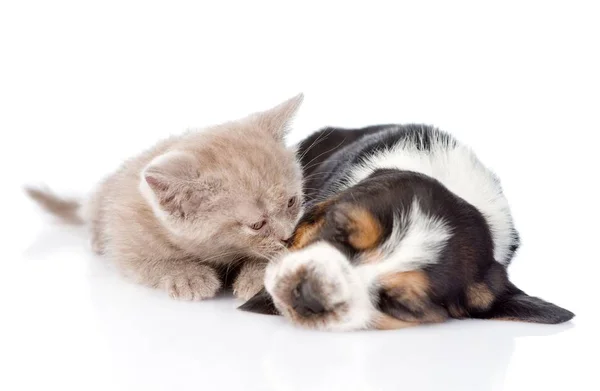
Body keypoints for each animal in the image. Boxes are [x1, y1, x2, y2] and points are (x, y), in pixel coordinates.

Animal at [27, 93, 304, 302]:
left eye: (292, 202)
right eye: (256, 224)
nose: (288, 236)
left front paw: (258, 274)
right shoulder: (126, 238)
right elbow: (149, 261)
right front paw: (187, 276)